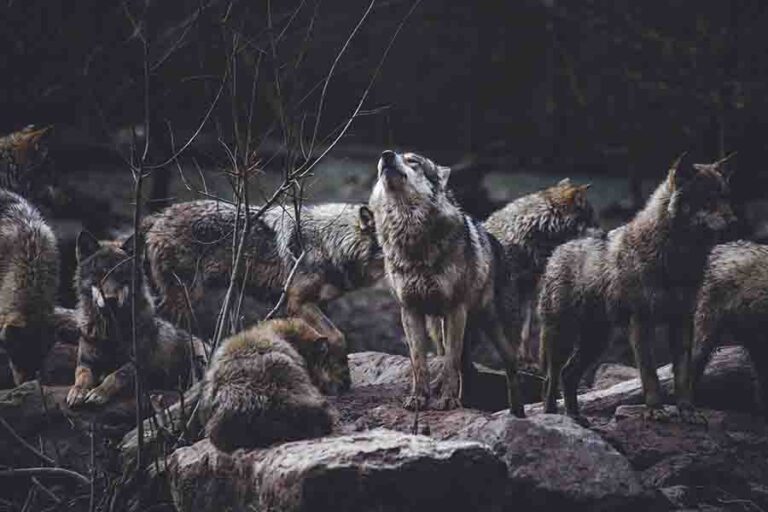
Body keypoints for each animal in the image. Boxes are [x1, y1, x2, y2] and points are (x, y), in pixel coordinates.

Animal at [66, 231, 208, 408]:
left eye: (121, 276)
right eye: (100, 274)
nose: (110, 299)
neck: (111, 331)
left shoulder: (137, 364)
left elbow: (116, 375)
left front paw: (99, 392)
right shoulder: (86, 361)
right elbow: (82, 376)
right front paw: (77, 391)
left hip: (198, 356)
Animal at [369, 150, 523, 415]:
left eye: (413, 161)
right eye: (383, 161)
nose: (386, 155)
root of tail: (496, 243)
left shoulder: (455, 309)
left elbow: (451, 362)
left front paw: (449, 400)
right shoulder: (410, 310)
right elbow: (419, 363)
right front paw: (419, 398)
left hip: (494, 331)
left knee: (510, 370)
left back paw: (516, 413)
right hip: (438, 329)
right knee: (459, 363)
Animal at [484, 178, 599, 364]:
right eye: (594, 221)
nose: (604, 234)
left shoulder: (529, 288)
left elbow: (525, 330)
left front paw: (527, 358)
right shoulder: (511, 287)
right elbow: (513, 328)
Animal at [538, 155, 735, 422]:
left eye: (725, 196)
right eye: (708, 198)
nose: (734, 221)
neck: (677, 257)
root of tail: (558, 250)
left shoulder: (682, 322)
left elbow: (683, 375)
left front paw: (687, 411)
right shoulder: (641, 323)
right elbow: (649, 374)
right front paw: (655, 410)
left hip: (596, 341)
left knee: (568, 374)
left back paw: (576, 418)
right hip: (563, 337)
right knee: (551, 378)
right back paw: (552, 416)